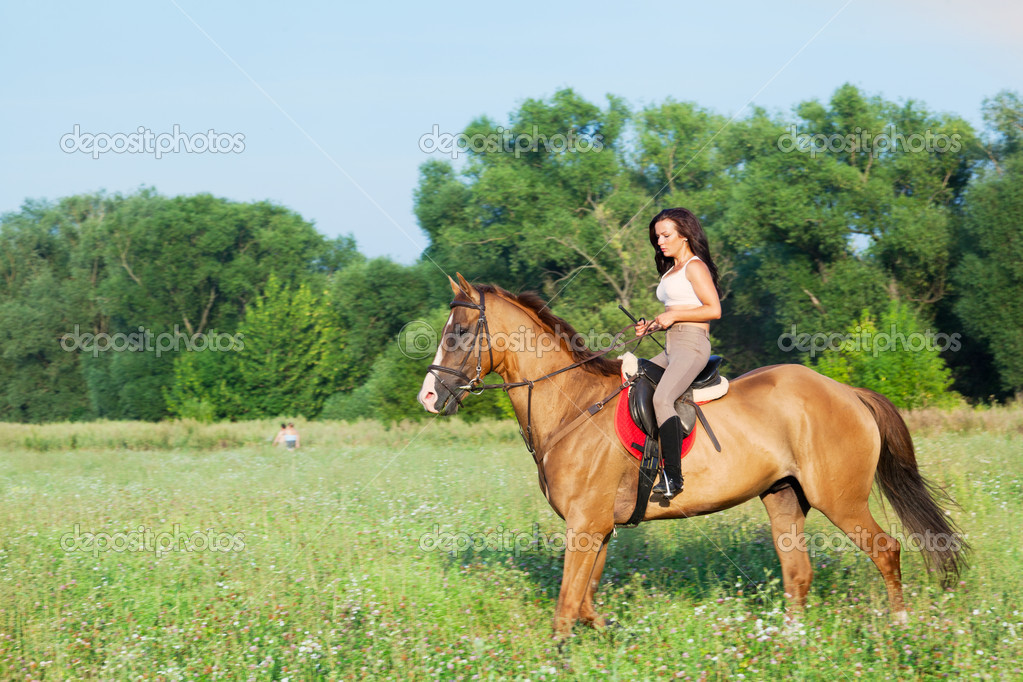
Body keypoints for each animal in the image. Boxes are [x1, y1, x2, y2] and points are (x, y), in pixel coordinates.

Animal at [415, 274, 965, 638]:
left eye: (459, 333)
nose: (429, 397)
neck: (572, 405)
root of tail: (848, 392)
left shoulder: (585, 525)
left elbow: (568, 602)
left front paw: (561, 657)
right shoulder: (598, 527)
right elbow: (586, 599)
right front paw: (611, 633)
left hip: (839, 498)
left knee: (885, 550)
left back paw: (900, 629)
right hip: (784, 497)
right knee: (798, 573)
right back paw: (788, 642)